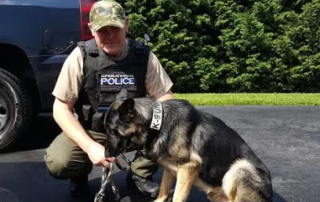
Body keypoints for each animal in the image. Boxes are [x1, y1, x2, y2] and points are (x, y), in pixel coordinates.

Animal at [104, 90, 272, 202]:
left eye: (111, 131)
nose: (105, 156)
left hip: (240, 168)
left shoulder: (188, 168)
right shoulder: (170, 169)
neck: (157, 123)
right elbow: (163, 192)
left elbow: (177, 197)